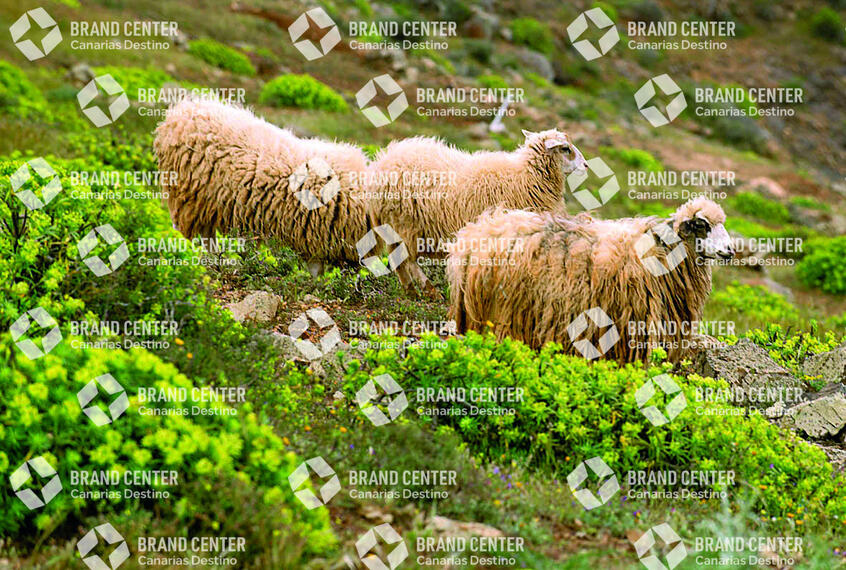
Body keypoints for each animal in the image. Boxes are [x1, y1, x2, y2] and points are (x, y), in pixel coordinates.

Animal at [153, 98, 369, 276]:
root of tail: (181, 111)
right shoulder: (315, 237)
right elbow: (315, 270)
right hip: (188, 198)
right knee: (192, 235)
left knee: (206, 237)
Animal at [366, 129, 588, 297]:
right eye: (565, 149)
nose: (586, 165)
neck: (526, 177)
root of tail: (382, 162)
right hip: (406, 223)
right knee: (407, 259)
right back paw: (429, 291)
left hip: (393, 225)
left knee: (398, 259)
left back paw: (410, 290)